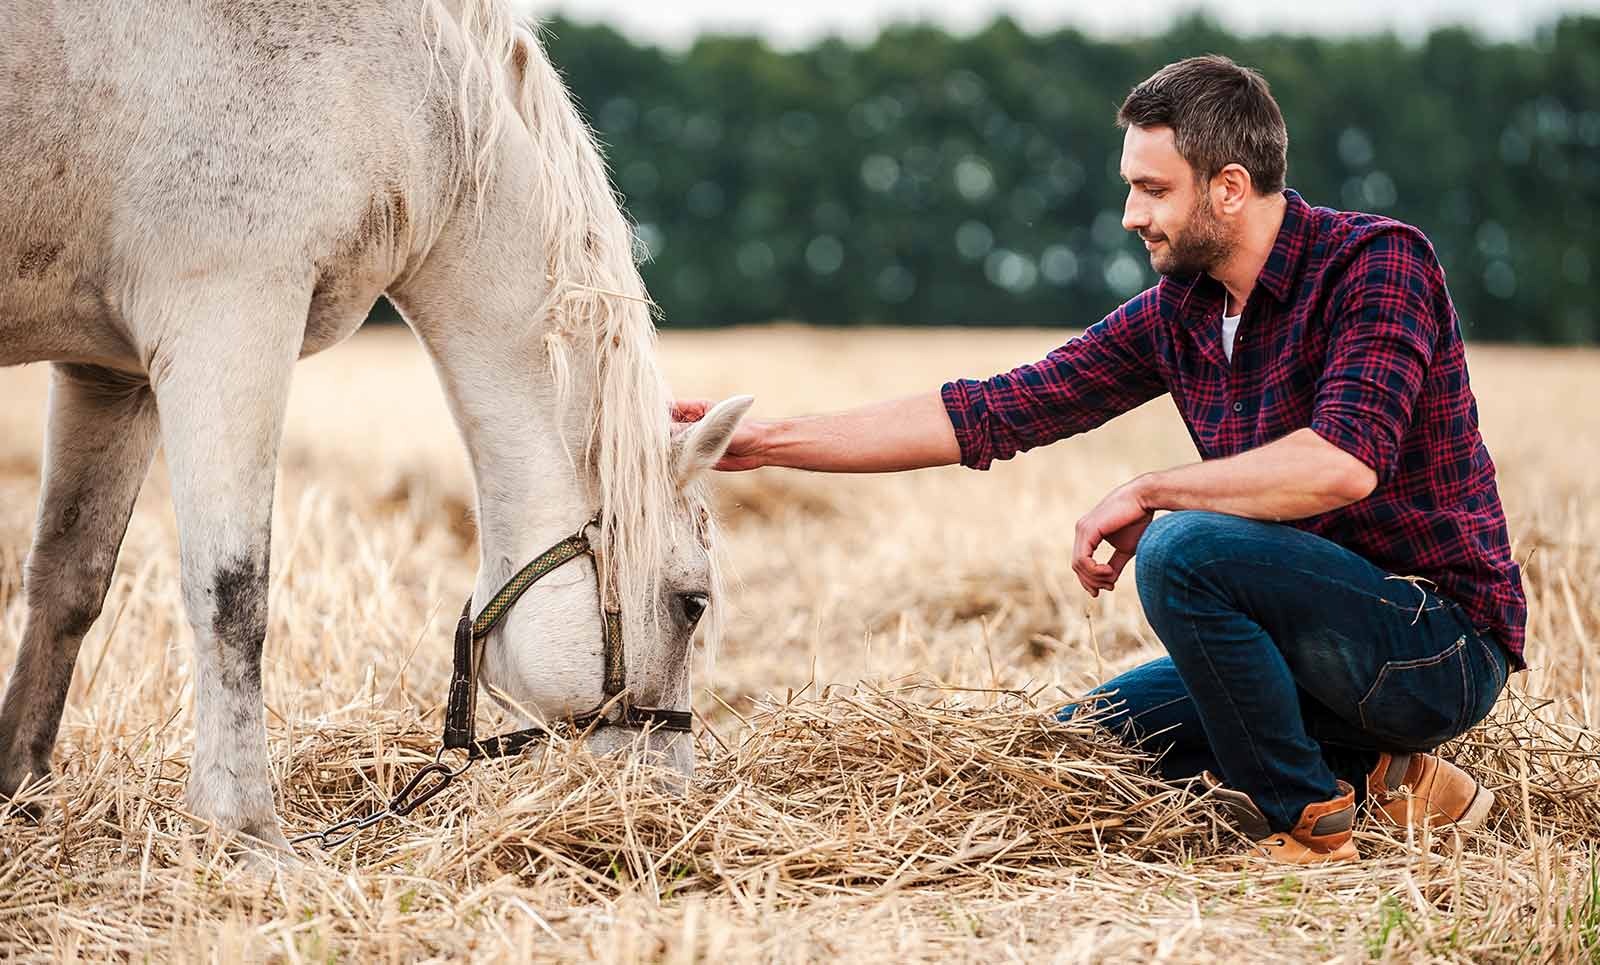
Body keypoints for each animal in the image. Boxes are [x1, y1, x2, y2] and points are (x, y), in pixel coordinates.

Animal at [0, 3, 752, 857]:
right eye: (692, 603)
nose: (669, 795)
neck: (414, 98)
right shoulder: (228, 319)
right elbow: (233, 593)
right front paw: (245, 827)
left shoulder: (110, 372)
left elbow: (70, 582)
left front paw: (22, 789)